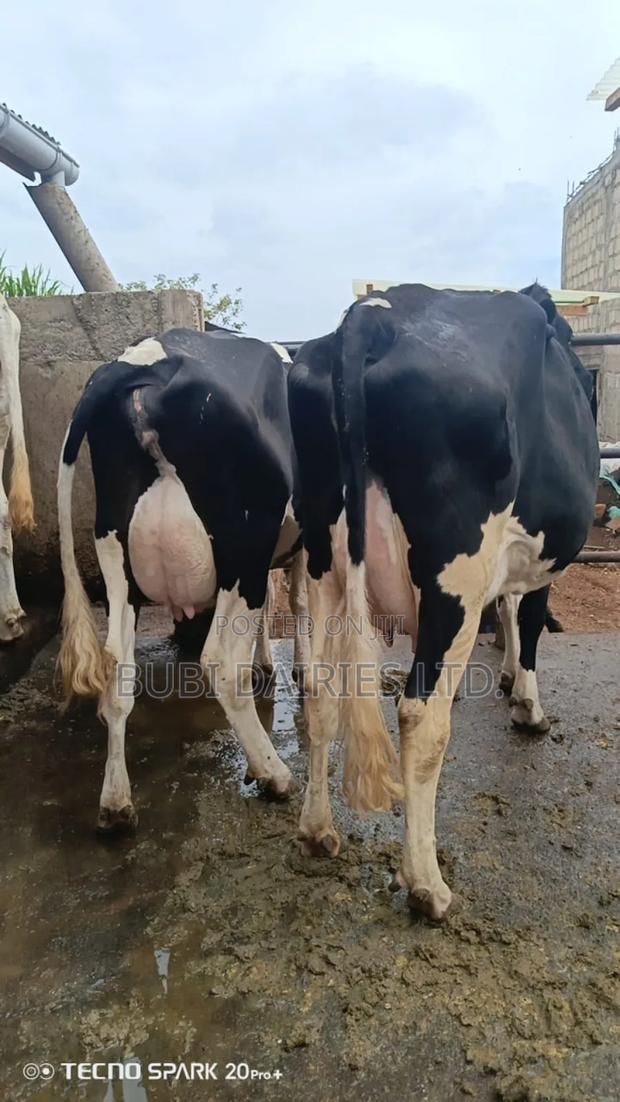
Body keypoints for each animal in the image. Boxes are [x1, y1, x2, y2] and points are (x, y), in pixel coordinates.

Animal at [58, 327, 301, 832]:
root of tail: (141, 359)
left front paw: (269, 665)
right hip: (246, 535)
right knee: (221, 661)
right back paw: (274, 774)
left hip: (115, 546)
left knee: (117, 665)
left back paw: (116, 803)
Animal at [288, 282, 598, 920]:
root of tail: (374, 314)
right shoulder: (534, 559)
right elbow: (529, 620)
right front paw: (527, 706)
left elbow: (509, 612)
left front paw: (507, 678)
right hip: (453, 578)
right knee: (420, 715)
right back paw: (427, 884)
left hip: (324, 560)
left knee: (323, 693)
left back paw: (317, 830)